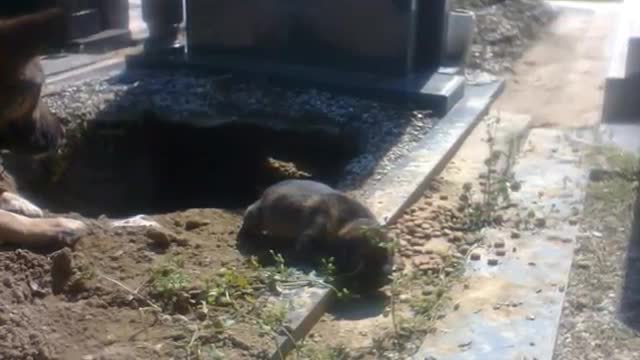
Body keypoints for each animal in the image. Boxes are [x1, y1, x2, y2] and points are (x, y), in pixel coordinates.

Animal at [238, 179, 392, 292]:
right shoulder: (310, 235)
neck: (347, 221)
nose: (388, 275)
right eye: (365, 258)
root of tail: (263, 195)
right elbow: (316, 252)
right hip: (254, 214)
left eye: (389, 252)